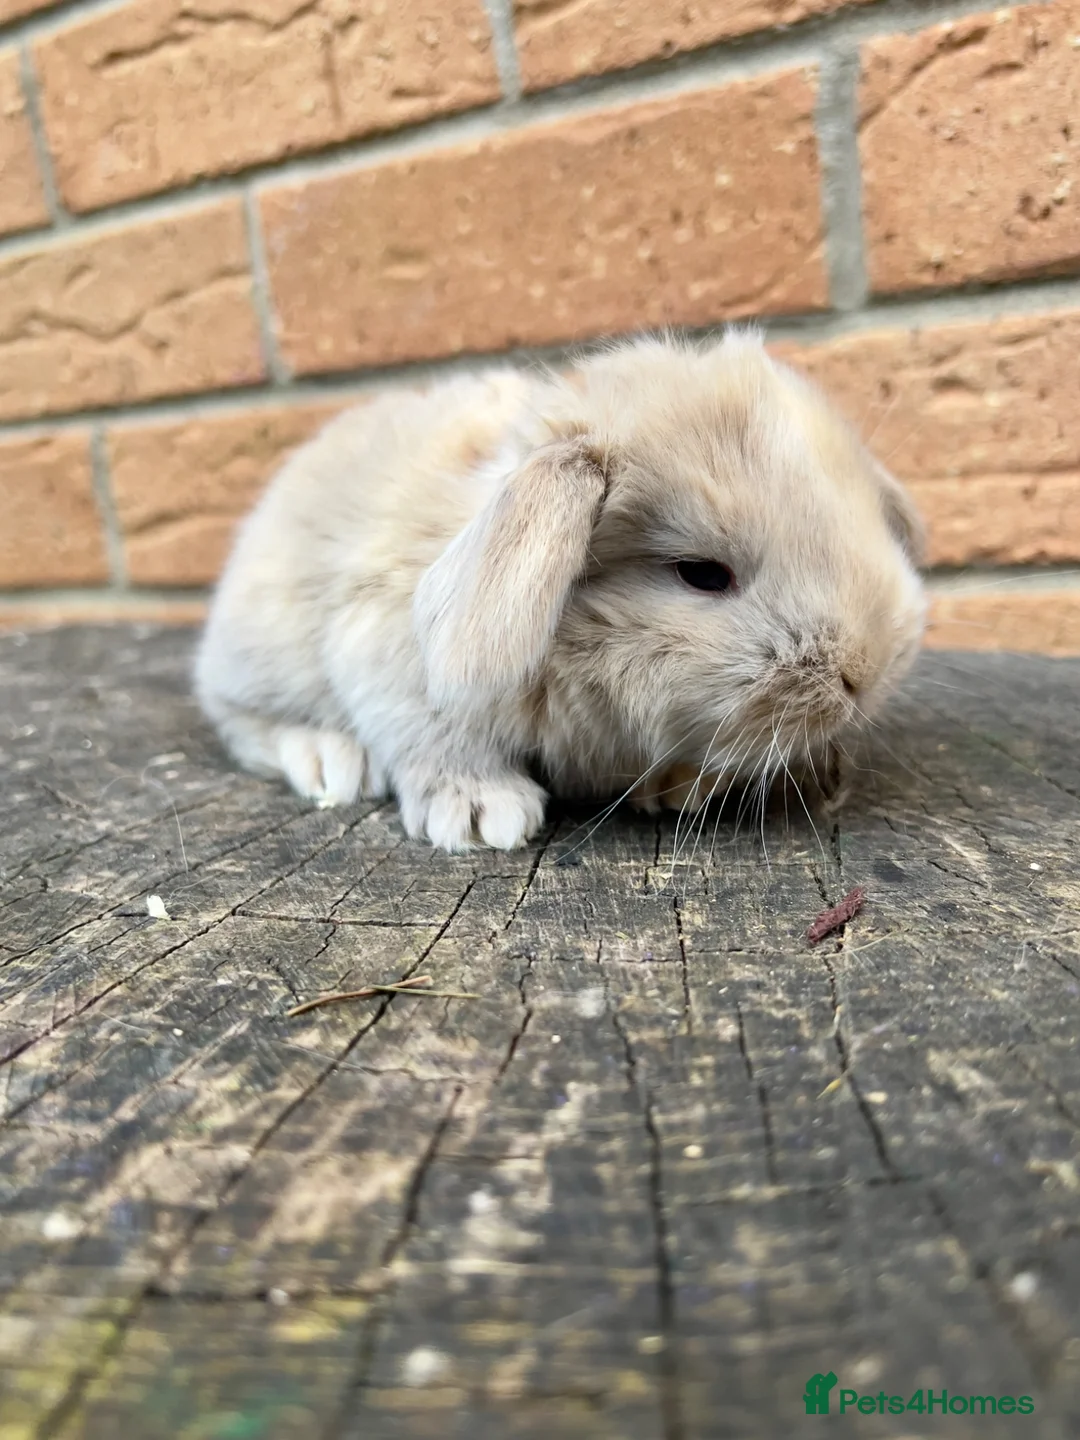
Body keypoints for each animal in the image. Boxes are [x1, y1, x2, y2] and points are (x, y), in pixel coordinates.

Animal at [194, 330, 926, 852]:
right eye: (701, 573)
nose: (866, 674)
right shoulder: (388, 658)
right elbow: (435, 734)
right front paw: (481, 814)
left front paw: (685, 786)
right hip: (263, 654)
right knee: (240, 721)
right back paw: (333, 763)